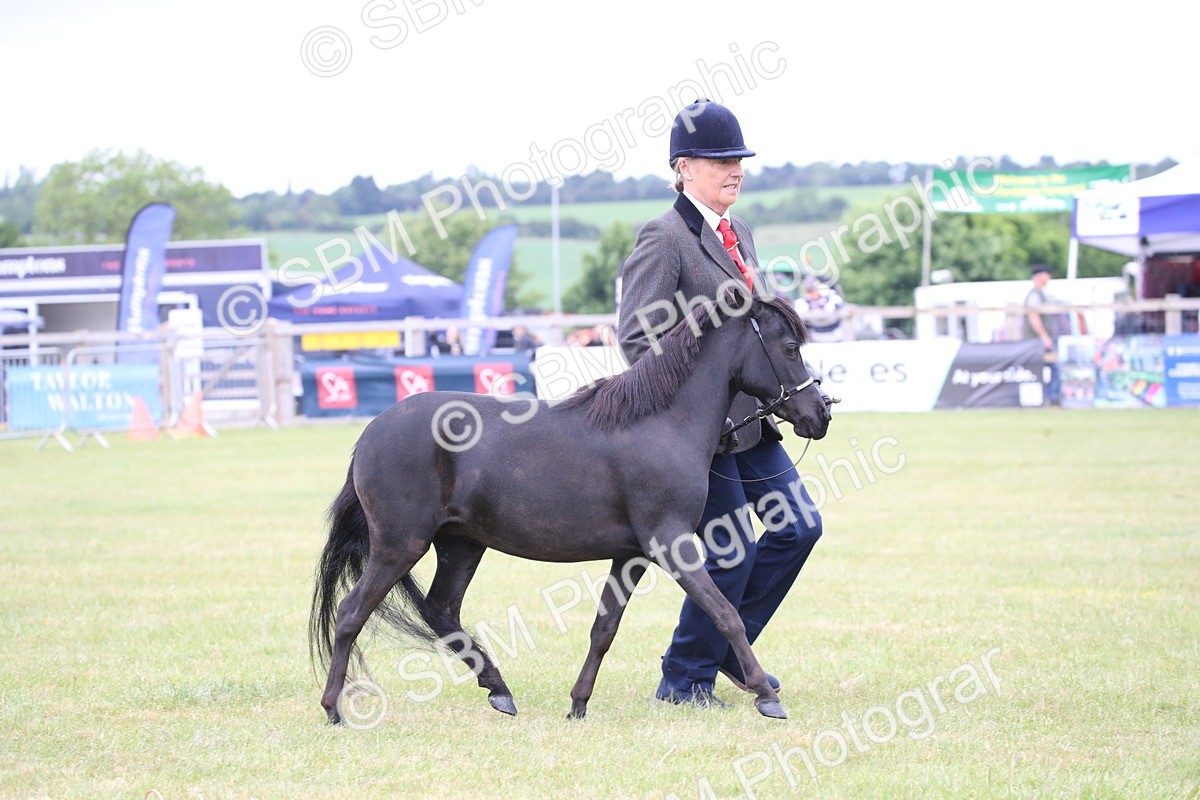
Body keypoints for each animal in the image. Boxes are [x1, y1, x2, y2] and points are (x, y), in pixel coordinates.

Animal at [309, 291, 832, 723]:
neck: (661, 422)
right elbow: (725, 613)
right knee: (352, 613)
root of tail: (372, 432)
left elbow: (604, 628)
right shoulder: (672, 544)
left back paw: (499, 689)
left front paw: (578, 703)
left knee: (441, 612)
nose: (821, 413)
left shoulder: (631, 555)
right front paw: (767, 695)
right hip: (399, 546)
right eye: (790, 348)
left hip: (461, 546)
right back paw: (333, 708)